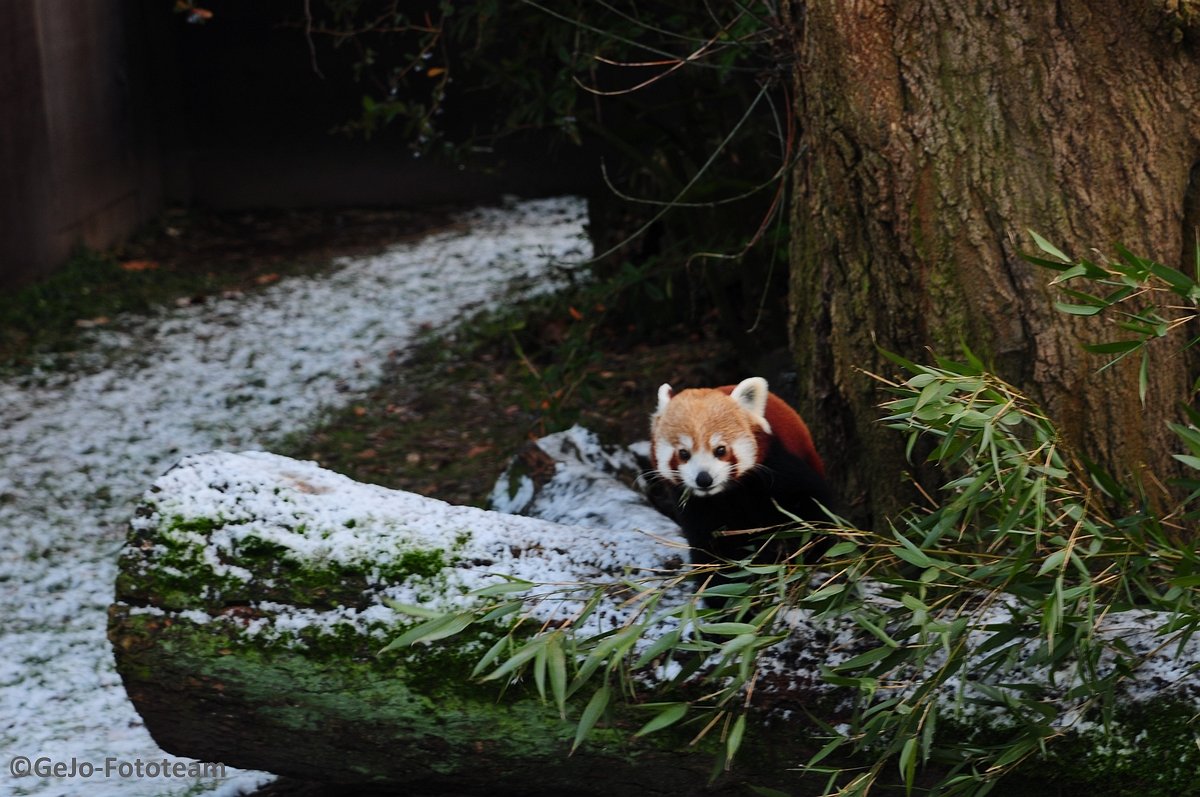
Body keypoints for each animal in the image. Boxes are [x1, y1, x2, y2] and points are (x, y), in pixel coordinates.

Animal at [652, 376, 830, 568]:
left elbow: (813, 504)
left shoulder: (779, 467)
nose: (704, 479)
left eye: (720, 450)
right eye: (684, 453)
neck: (727, 494)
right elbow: (706, 538)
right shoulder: (694, 504)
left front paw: (808, 549)